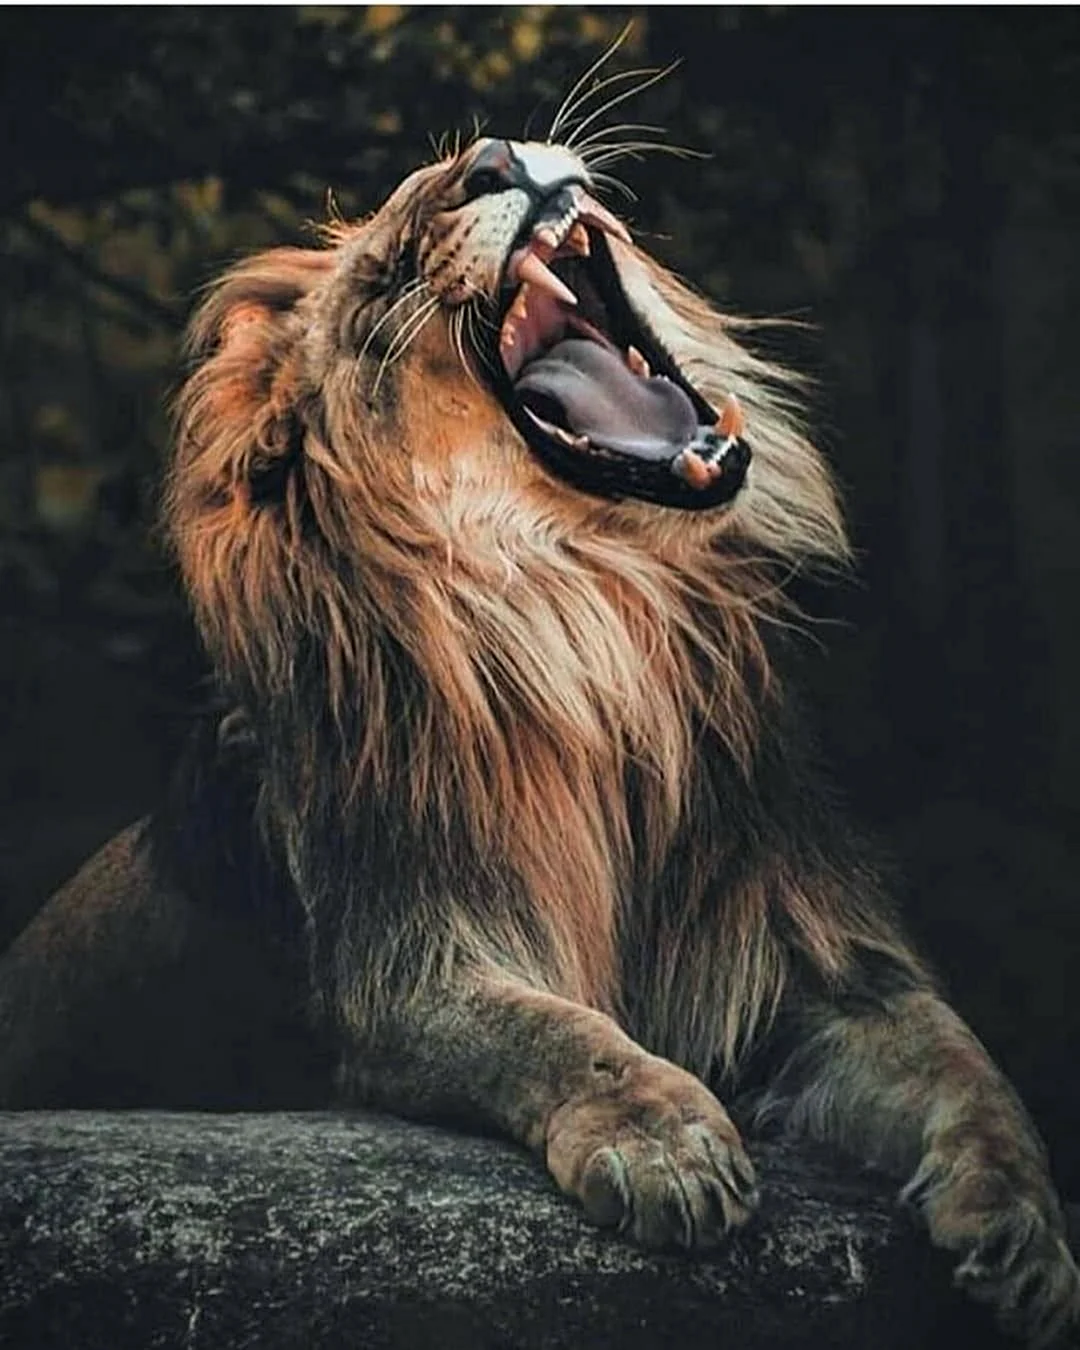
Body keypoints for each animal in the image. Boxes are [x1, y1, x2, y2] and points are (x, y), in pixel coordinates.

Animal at [1, 132, 1077, 1345]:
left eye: (469, 158)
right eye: (385, 274)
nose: (494, 156)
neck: (596, 614)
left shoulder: (807, 951)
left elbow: (962, 1058)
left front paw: (1029, 1239)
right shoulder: (405, 972)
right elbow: (561, 1035)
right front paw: (668, 1144)